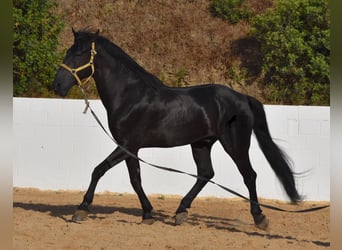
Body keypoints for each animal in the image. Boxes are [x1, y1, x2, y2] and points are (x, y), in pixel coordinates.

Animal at [52, 28, 300, 229]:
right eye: (69, 51)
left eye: (79, 53)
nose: (57, 85)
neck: (130, 96)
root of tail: (242, 97)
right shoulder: (132, 148)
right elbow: (135, 180)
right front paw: (148, 214)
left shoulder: (126, 145)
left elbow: (99, 170)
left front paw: (82, 209)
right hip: (201, 144)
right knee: (206, 174)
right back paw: (180, 212)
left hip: (236, 145)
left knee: (249, 175)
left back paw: (259, 218)